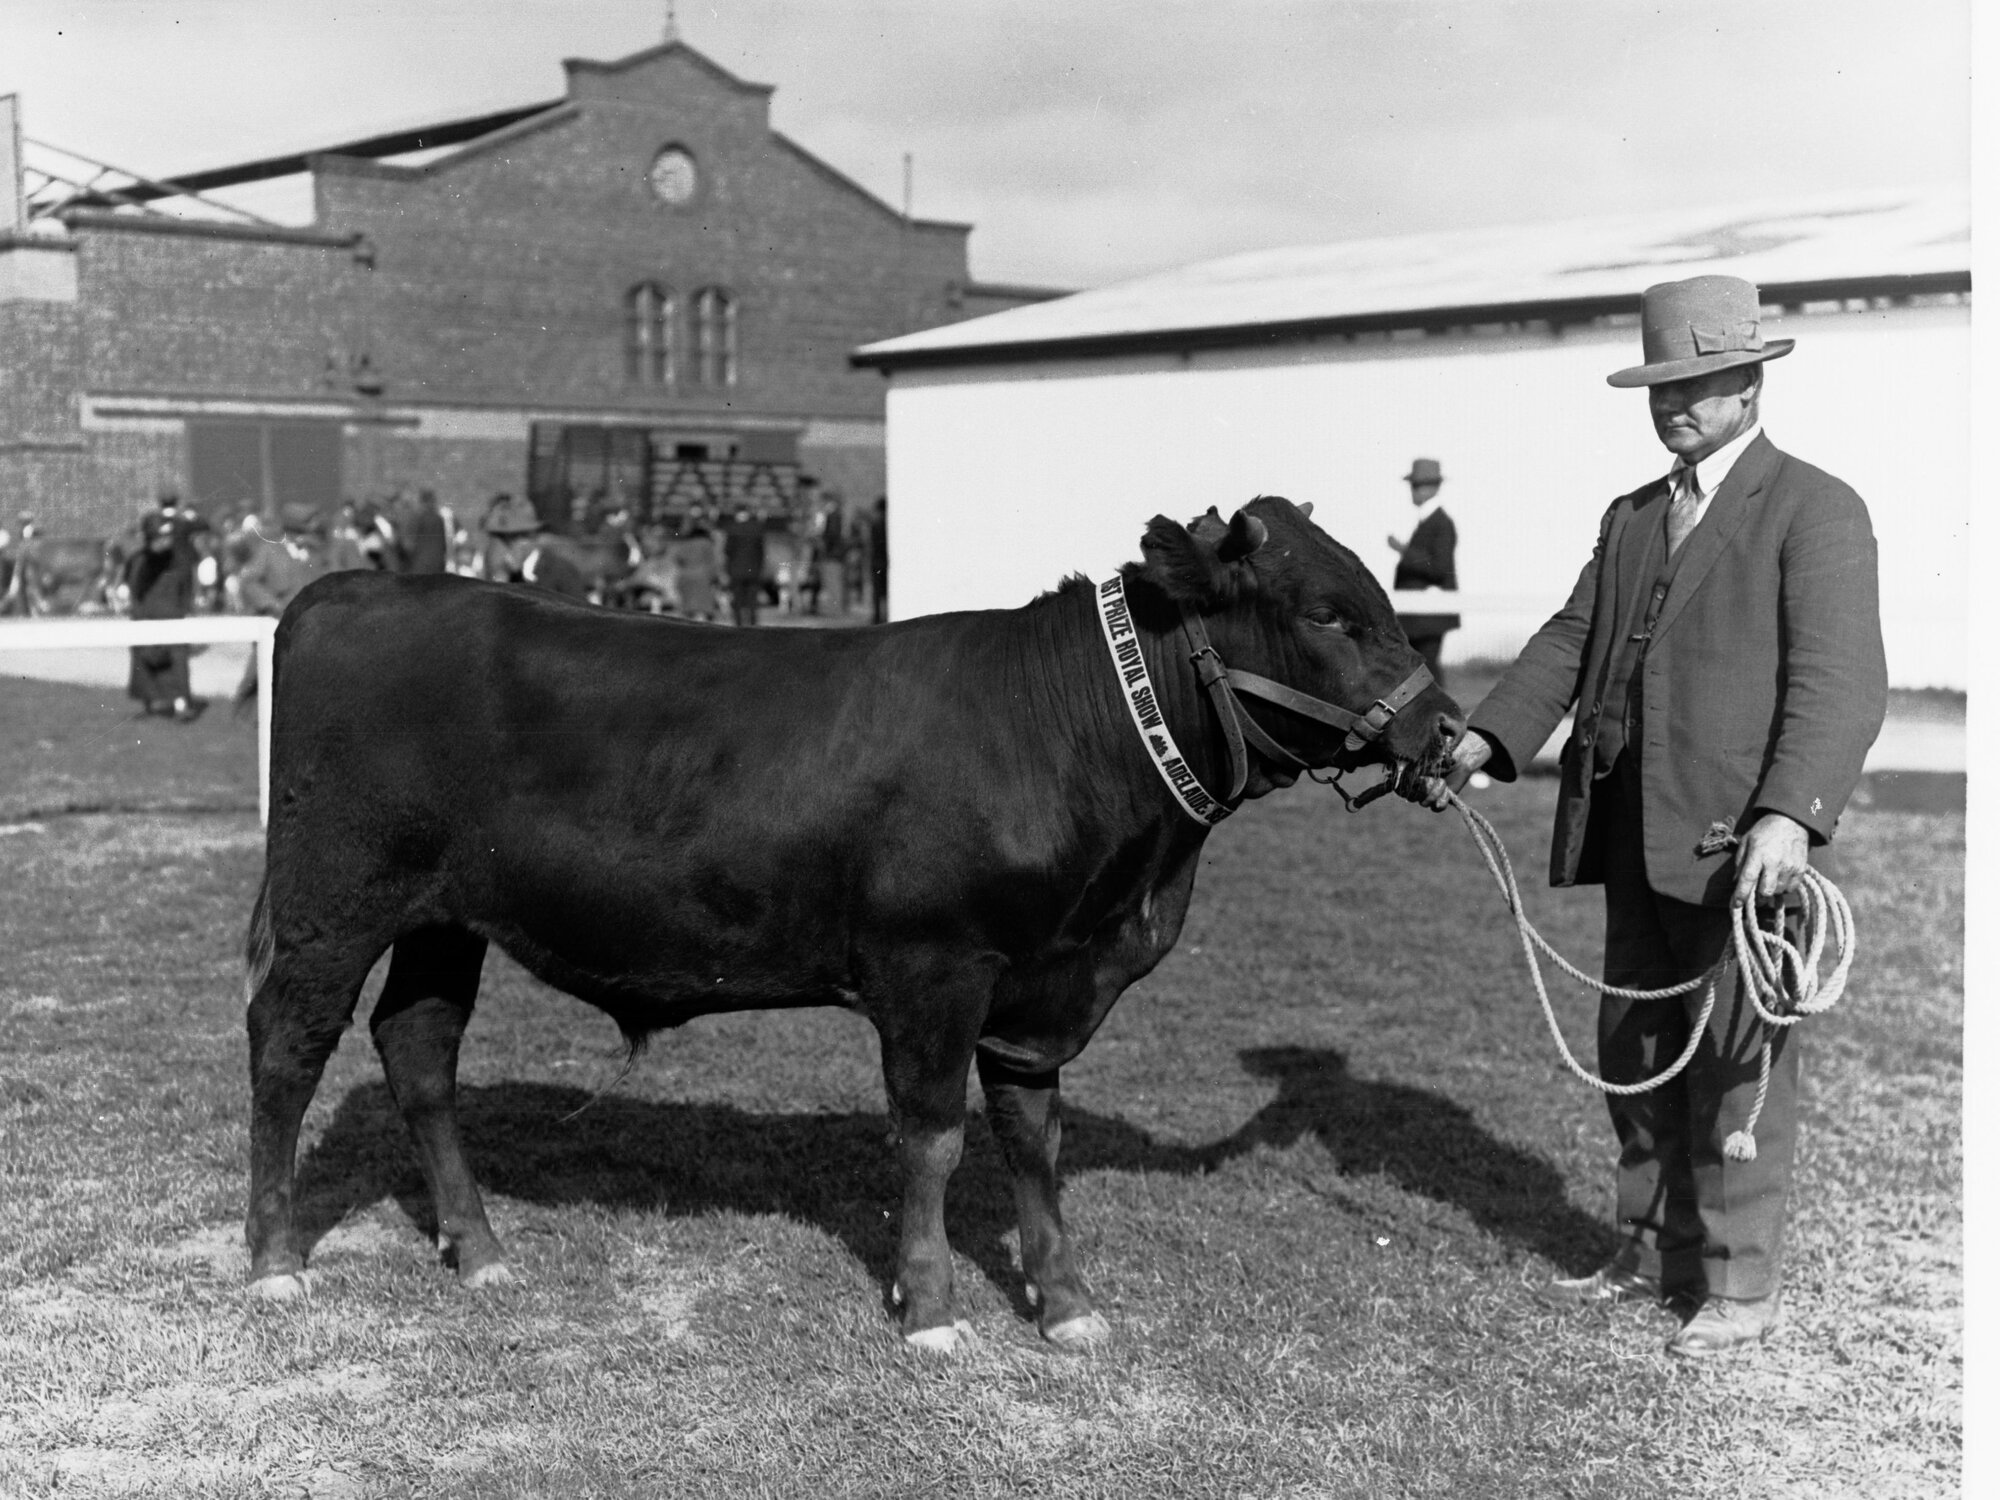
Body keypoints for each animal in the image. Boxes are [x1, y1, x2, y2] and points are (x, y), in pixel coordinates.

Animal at [243, 496, 1465, 1352]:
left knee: (417, 1048)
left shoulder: (1040, 985)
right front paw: (929, 1308)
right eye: (1326, 614)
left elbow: (1035, 1141)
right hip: (332, 900)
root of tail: (348, 590)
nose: (1451, 735)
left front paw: (1066, 1303)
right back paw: (273, 1261)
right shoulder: (934, 968)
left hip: (445, 916)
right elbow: (931, 1140)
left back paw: (481, 1249)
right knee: (287, 1049)